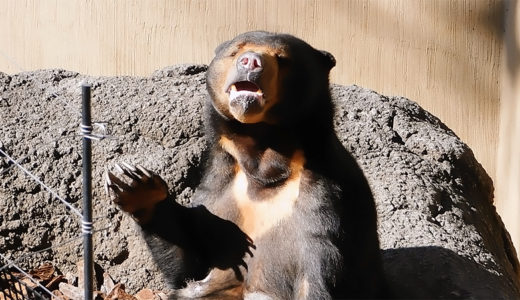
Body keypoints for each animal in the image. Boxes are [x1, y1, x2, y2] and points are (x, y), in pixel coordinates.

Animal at [104, 31, 386, 298]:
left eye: (282, 58)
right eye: (236, 50)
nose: (250, 61)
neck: (261, 157)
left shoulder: (324, 195)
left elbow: (319, 272)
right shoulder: (219, 185)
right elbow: (191, 266)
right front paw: (134, 183)